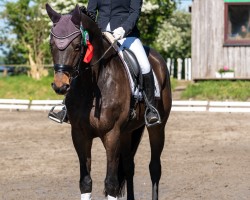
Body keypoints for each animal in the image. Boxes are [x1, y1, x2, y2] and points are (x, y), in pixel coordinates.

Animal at [46, 3, 172, 200]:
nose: (60, 86)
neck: (92, 87)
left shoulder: (112, 135)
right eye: (51, 45)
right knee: (129, 167)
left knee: (155, 168)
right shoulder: (79, 135)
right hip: (127, 132)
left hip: (158, 127)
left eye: (77, 46)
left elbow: (111, 183)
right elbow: (85, 182)